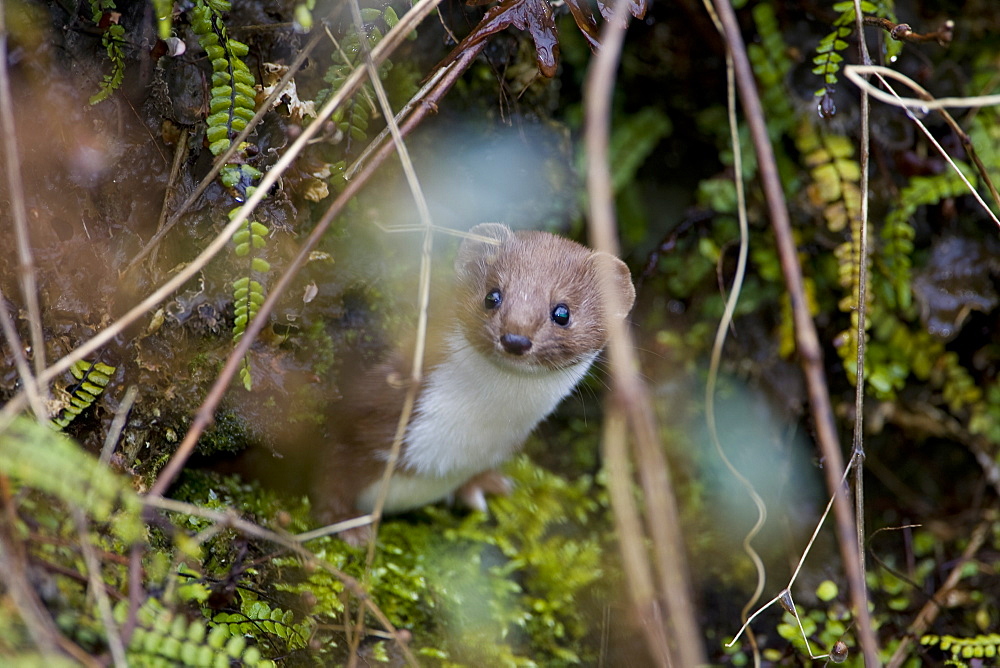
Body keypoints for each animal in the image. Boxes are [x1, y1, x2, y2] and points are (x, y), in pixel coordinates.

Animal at [314, 224, 632, 536]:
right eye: (492, 296)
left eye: (562, 312)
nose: (515, 339)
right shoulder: (360, 410)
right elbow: (329, 475)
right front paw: (346, 523)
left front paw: (481, 485)